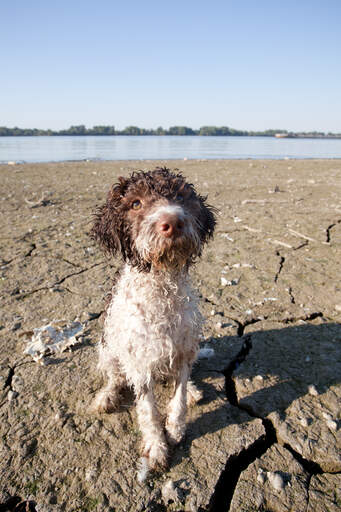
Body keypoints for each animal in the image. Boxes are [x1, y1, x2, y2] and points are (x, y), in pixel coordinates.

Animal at [89, 168, 214, 472]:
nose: (173, 222)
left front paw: (176, 429)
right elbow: (148, 410)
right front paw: (157, 446)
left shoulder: (183, 350)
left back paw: (194, 391)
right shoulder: (139, 362)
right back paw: (107, 396)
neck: (161, 285)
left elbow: (178, 398)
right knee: (114, 377)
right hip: (108, 350)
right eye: (135, 203)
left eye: (182, 196)